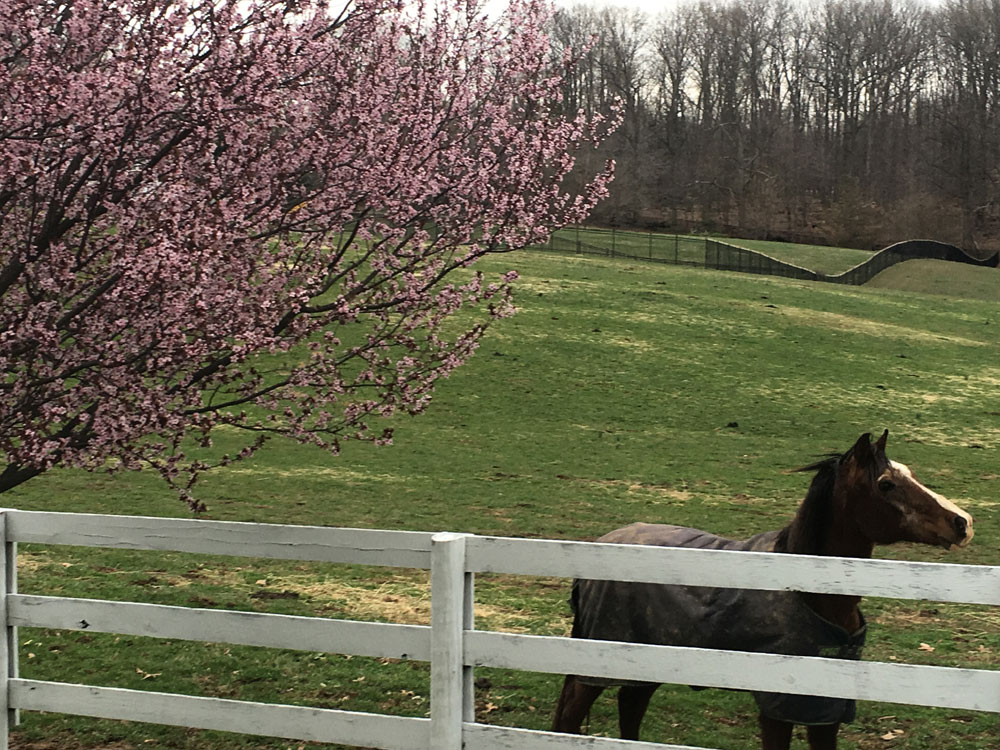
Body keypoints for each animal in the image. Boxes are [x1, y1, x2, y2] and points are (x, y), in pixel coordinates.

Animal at [552, 432, 972, 750]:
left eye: (909, 474)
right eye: (886, 483)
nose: (962, 522)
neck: (809, 592)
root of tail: (604, 543)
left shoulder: (826, 711)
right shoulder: (777, 707)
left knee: (630, 707)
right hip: (597, 666)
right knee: (571, 718)